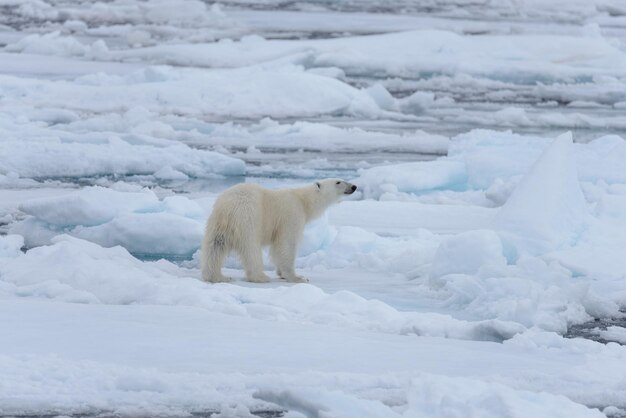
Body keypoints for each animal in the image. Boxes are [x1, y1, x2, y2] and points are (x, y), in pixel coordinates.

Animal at [201, 178, 356, 282]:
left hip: (216, 224)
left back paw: (217, 276)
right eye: (338, 182)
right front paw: (297, 277)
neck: (303, 201)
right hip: (248, 218)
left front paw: (282, 273)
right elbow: (287, 243)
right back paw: (260, 276)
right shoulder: (291, 215)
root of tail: (227, 208)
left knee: (215, 247)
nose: (354, 186)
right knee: (251, 249)